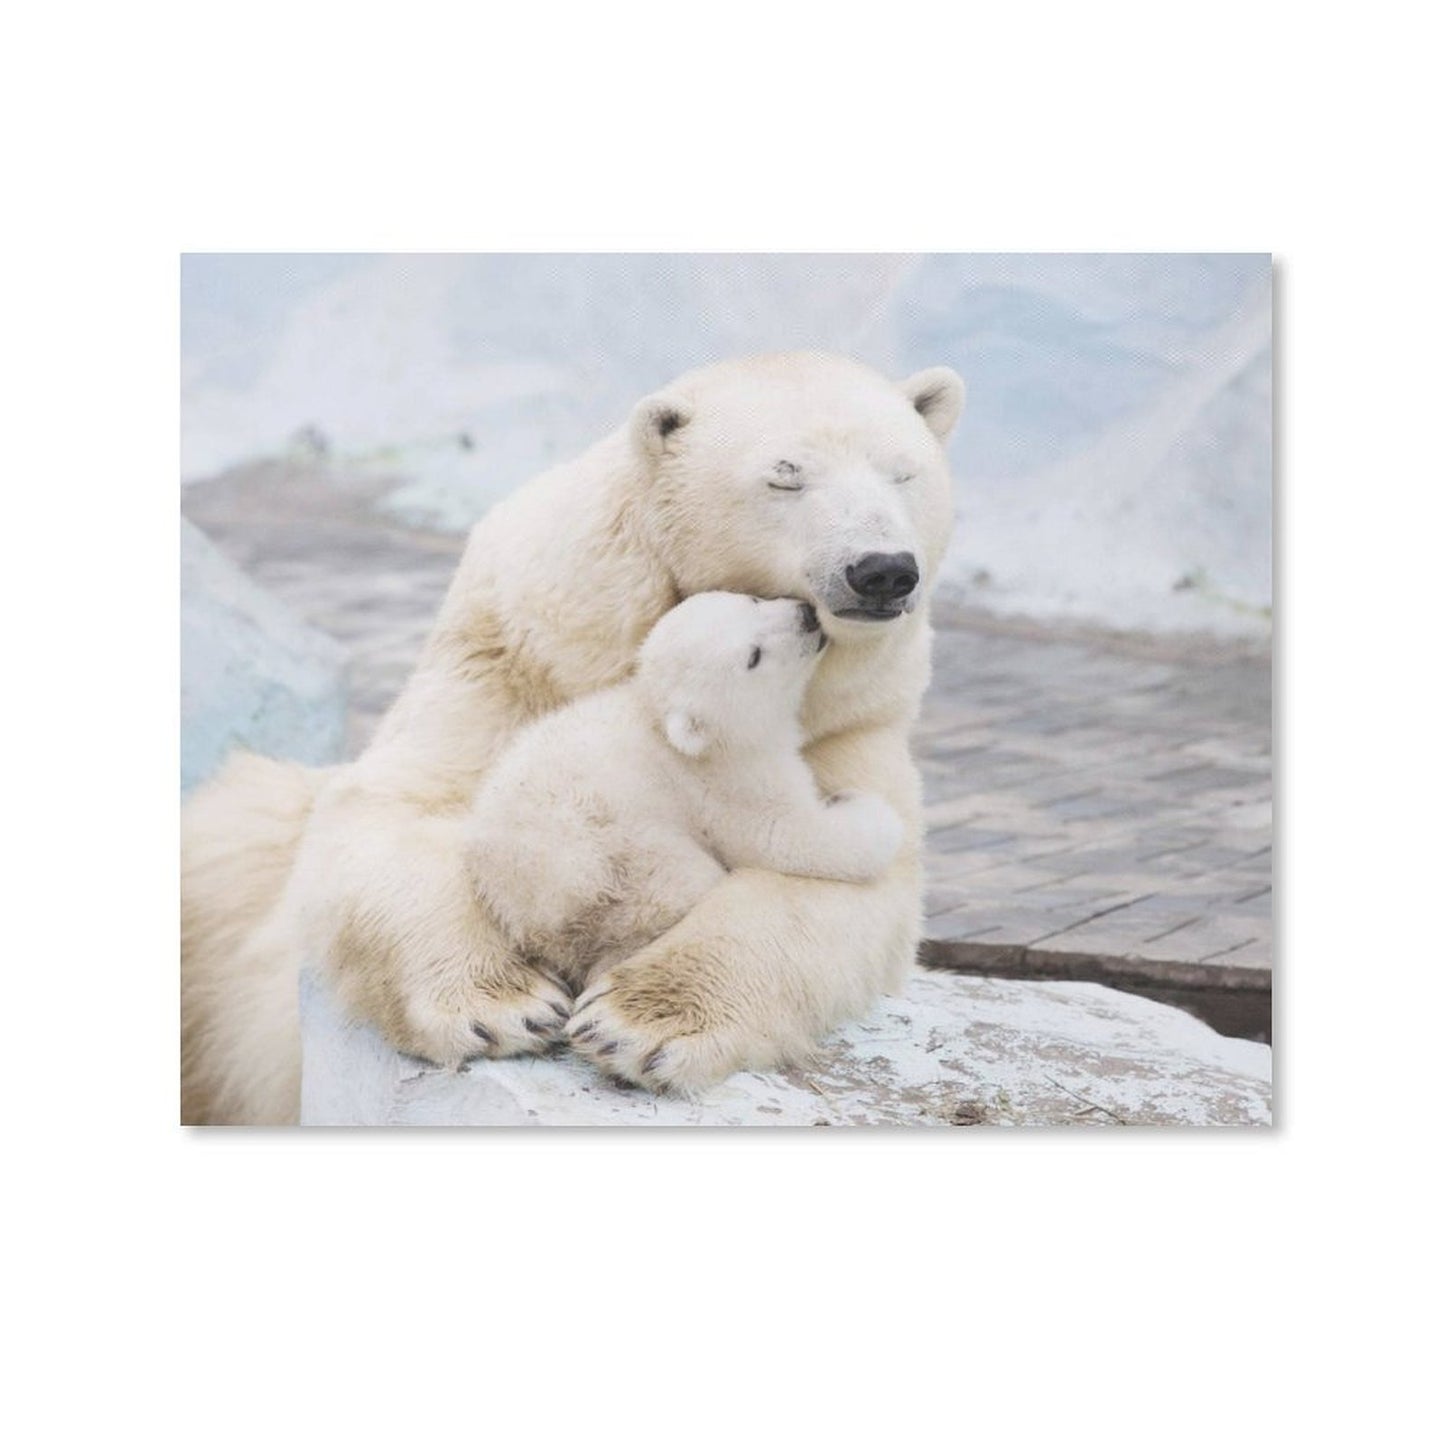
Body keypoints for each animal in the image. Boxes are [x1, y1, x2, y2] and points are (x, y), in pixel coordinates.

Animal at [465, 590, 904, 1085]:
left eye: (753, 599)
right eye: (753, 657)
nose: (807, 616)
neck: (662, 721)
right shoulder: (726, 780)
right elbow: (789, 836)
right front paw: (865, 808)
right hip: (625, 864)